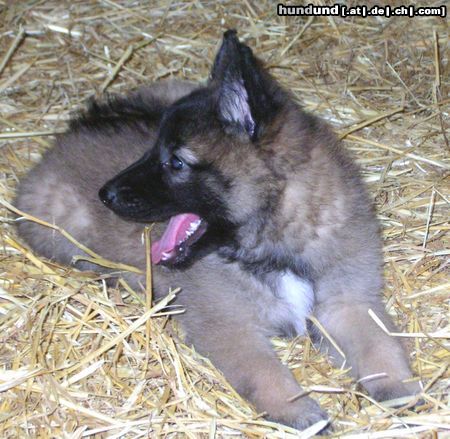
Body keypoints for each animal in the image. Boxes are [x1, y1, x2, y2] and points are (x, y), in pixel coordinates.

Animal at [16, 31, 418, 434]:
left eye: (176, 162)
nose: (105, 194)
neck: (273, 243)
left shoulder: (348, 303)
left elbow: (379, 343)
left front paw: (398, 387)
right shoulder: (231, 329)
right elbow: (265, 371)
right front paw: (299, 411)